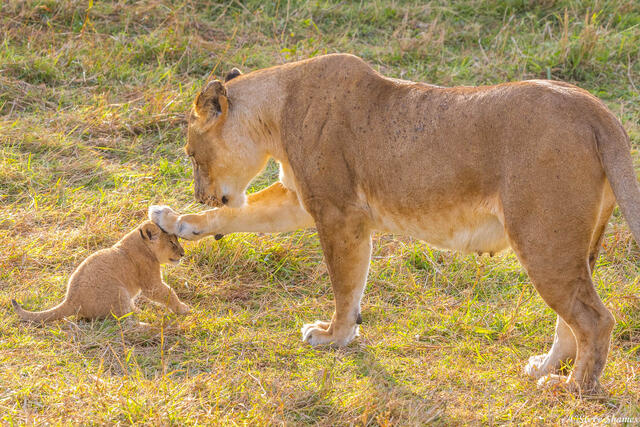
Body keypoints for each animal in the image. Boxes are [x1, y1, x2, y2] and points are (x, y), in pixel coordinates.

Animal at [12, 221, 191, 322]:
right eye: (172, 243)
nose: (183, 254)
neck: (142, 244)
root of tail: (70, 300)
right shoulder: (150, 283)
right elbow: (168, 293)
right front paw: (183, 309)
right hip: (119, 293)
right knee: (125, 322)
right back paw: (150, 322)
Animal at [149, 53, 639, 392]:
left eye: (192, 154)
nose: (199, 192)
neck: (275, 111)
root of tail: (599, 112)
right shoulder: (300, 200)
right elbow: (237, 213)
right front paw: (176, 221)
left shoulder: (338, 212)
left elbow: (345, 284)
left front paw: (333, 336)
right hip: (575, 245)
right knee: (573, 318)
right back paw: (547, 367)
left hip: (542, 239)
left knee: (596, 319)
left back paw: (572, 388)